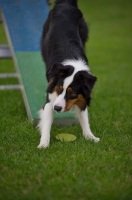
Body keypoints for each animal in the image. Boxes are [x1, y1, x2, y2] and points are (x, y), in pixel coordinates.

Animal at [37, 0, 99, 148]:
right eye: (59, 89)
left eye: (73, 94)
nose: (57, 108)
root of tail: (65, 3)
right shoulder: (50, 99)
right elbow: (46, 122)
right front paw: (43, 144)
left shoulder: (83, 96)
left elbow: (84, 117)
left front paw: (90, 137)